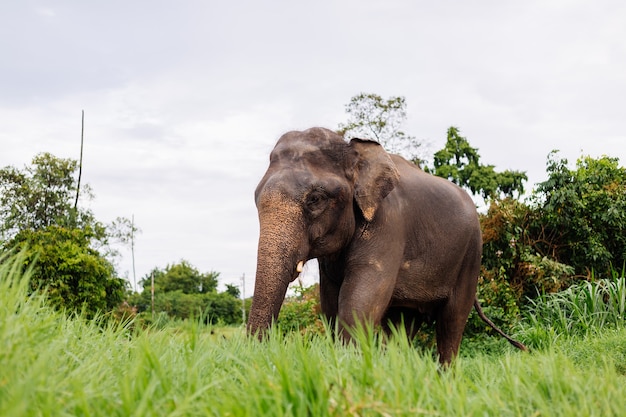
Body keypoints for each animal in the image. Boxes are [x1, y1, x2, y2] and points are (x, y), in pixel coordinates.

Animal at [246, 127, 524, 364]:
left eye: (315, 199)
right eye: (256, 198)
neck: (355, 152)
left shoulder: (388, 225)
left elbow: (358, 303)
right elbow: (331, 304)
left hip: (471, 256)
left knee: (452, 321)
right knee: (402, 324)